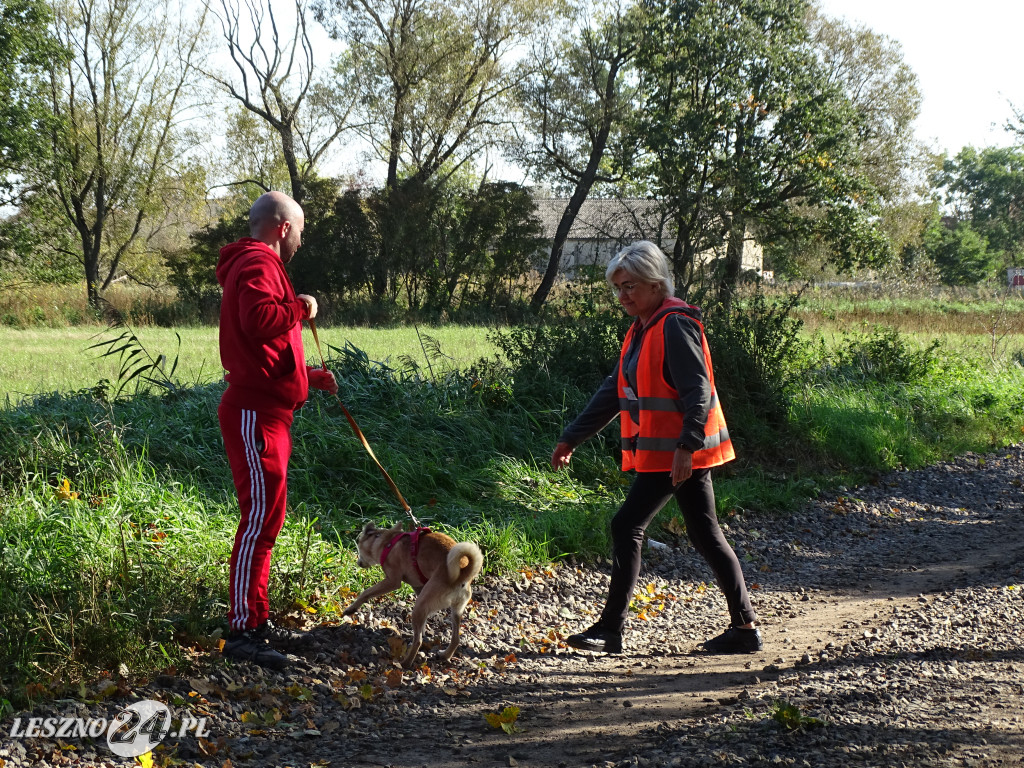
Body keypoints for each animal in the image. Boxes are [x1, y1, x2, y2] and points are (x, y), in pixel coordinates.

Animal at [344, 524, 483, 667]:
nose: (358, 563)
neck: (387, 541)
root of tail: (463, 573)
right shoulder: (418, 587)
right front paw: (424, 630)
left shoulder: (392, 582)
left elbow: (366, 593)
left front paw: (351, 609)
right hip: (455, 610)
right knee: (455, 639)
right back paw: (444, 655)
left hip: (419, 607)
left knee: (418, 641)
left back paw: (405, 663)